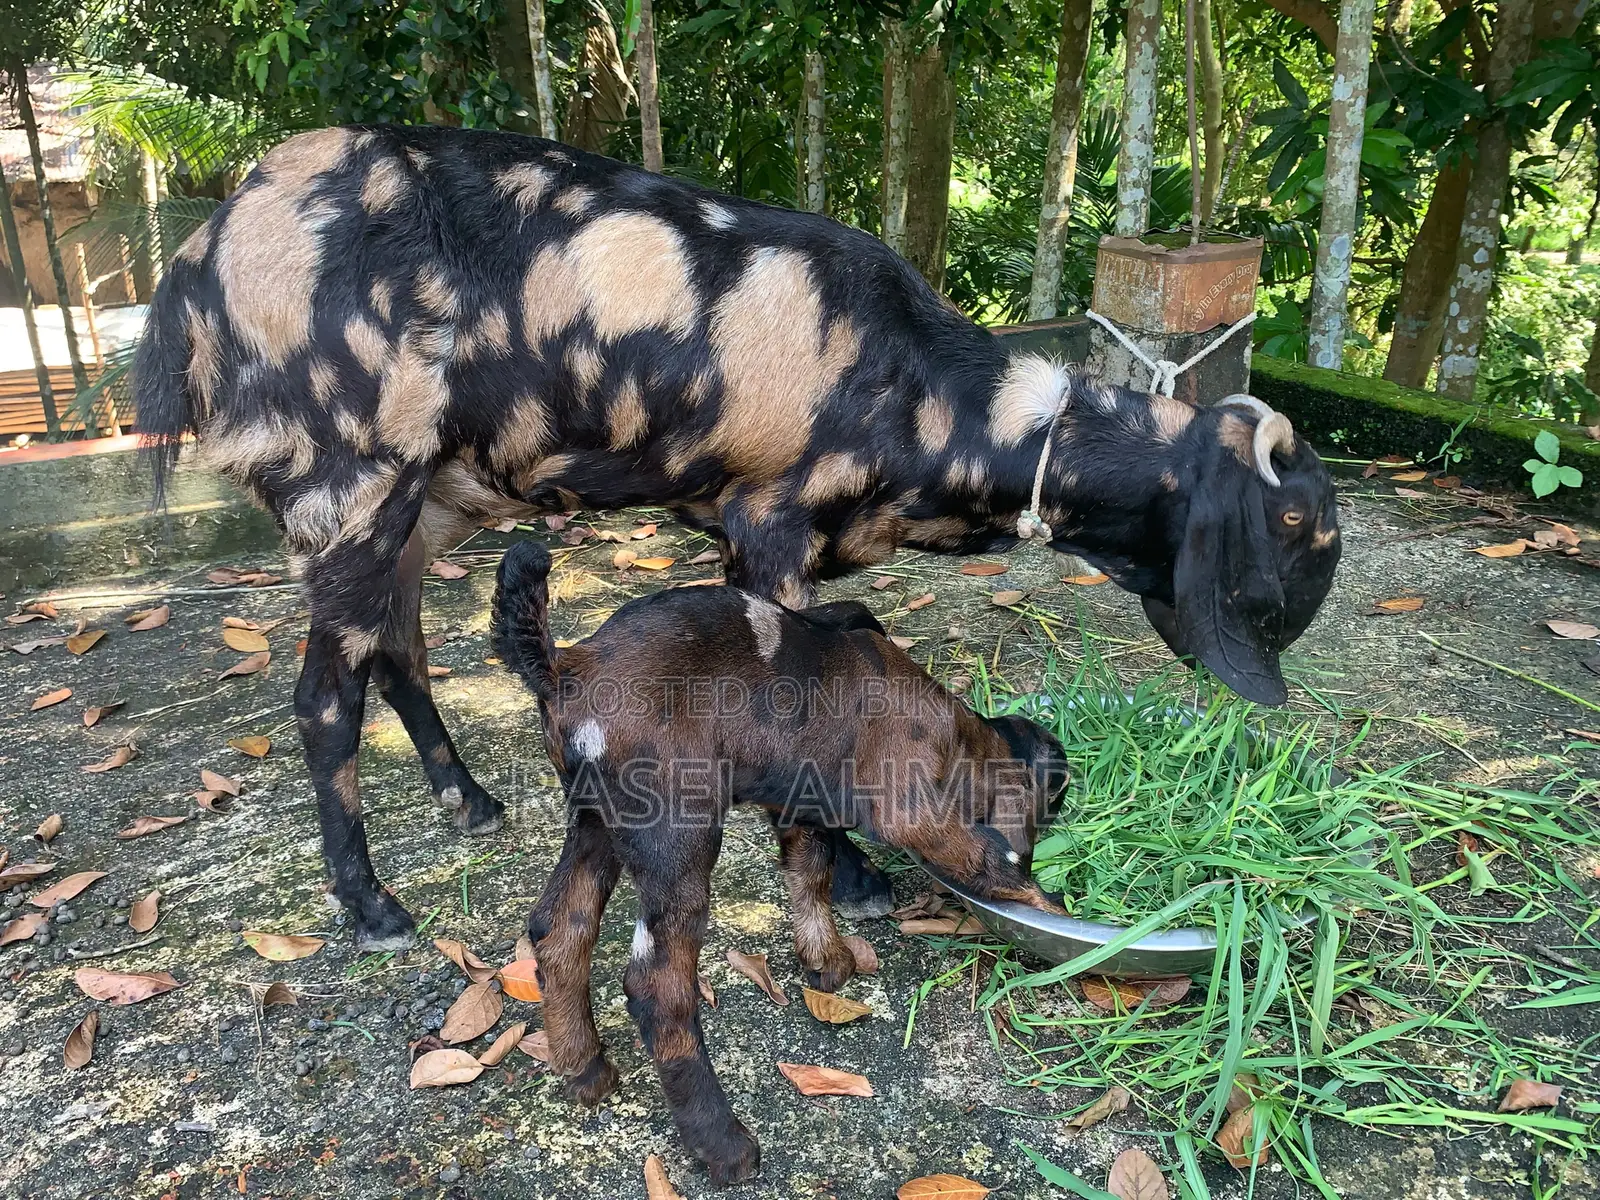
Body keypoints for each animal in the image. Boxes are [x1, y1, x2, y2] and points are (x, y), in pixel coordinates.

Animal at [134, 124, 1340, 951]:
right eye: (1297, 523)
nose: (1280, 693)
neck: (924, 388)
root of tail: (196, 261)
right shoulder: (771, 522)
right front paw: (856, 878)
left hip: (428, 502)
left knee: (398, 650)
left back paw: (466, 800)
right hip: (351, 485)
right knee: (322, 701)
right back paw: (370, 902)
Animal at [490, 540, 1068, 1184]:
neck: (965, 735)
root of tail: (567, 666)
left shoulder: (802, 801)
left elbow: (809, 873)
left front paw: (826, 958)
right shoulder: (915, 810)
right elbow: (989, 862)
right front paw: (1063, 924)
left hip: (596, 824)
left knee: (560, 930)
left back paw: (584, 1067)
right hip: (678, 830)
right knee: (657, 988)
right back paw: (720, 1142)